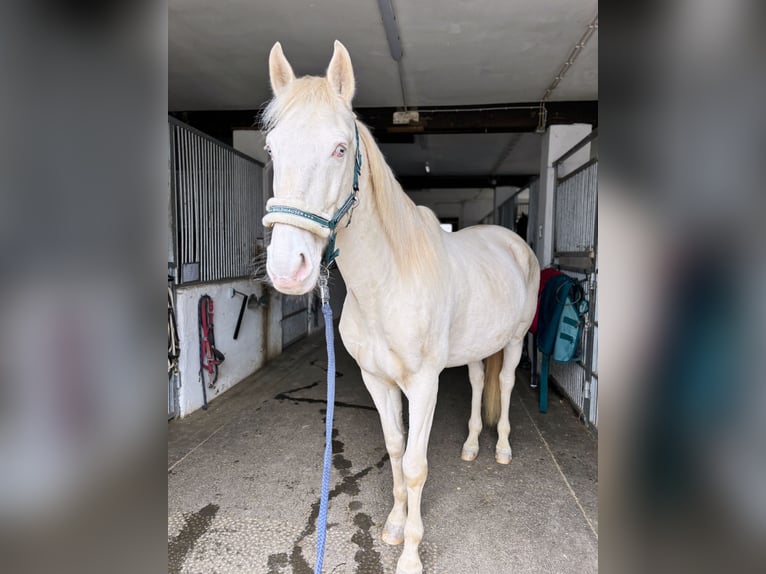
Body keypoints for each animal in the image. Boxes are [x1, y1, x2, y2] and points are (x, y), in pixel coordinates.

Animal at [262, 40, 540, 574]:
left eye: (340, 148)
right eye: (271, 149)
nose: (289, 268)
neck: (386, 285)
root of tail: (512, 240)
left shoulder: (423, 384)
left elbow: (414, 464)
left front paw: (410, 553)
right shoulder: (378, 380)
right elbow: (393, 449)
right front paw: (392, 525)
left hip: (515, 342)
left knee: (509, 384)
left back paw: (501, 450)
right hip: (476, 349)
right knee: (480, 383)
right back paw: (471, 447)